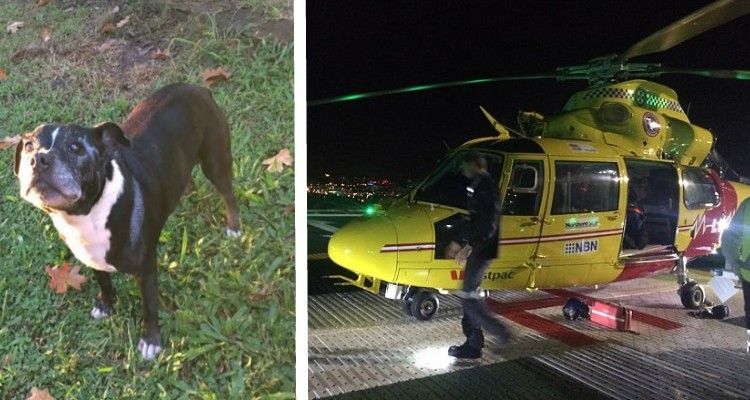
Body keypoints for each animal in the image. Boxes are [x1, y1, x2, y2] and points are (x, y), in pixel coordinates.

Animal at [13, 83, 241, 360]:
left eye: (76, 148)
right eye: (28, 146)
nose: (39, 159)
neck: (87, 213)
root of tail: (198, 88)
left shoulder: (146, 272)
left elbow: (149, 307)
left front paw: (151, 341)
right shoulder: (93, 258)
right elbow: (104, 282)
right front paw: (106, 305)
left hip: (215, 161)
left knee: (228, 194)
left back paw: (233, 227)